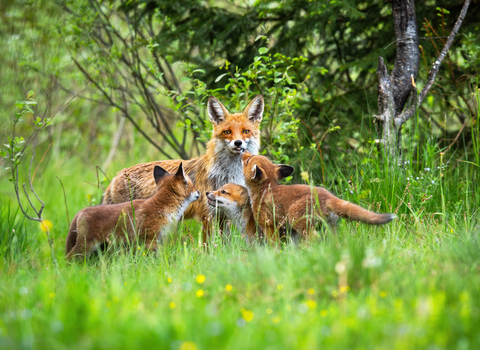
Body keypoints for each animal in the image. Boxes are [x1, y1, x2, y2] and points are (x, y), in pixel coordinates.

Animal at [65, 164, 199, 260]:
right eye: (193, 186)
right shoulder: (151, 239)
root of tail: (81, 211)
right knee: (69, 257)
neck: (162, 207)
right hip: (87, 245)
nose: (199, 192)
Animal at [101, 94, 262, 241]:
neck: (228, 174)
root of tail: (115, 177)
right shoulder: (207, 214)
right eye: (227, 132)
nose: (238, 143)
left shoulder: (223, 214)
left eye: (245, 131)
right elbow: (208, 246)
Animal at [242, 153, 396, 241]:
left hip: (299, 222)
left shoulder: (268, 225)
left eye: (248, 160)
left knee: (314, 239)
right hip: (328, 228)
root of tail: (328, 195)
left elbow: (274, 246)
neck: (265, 189)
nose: (243, 150)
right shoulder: (289, 231)